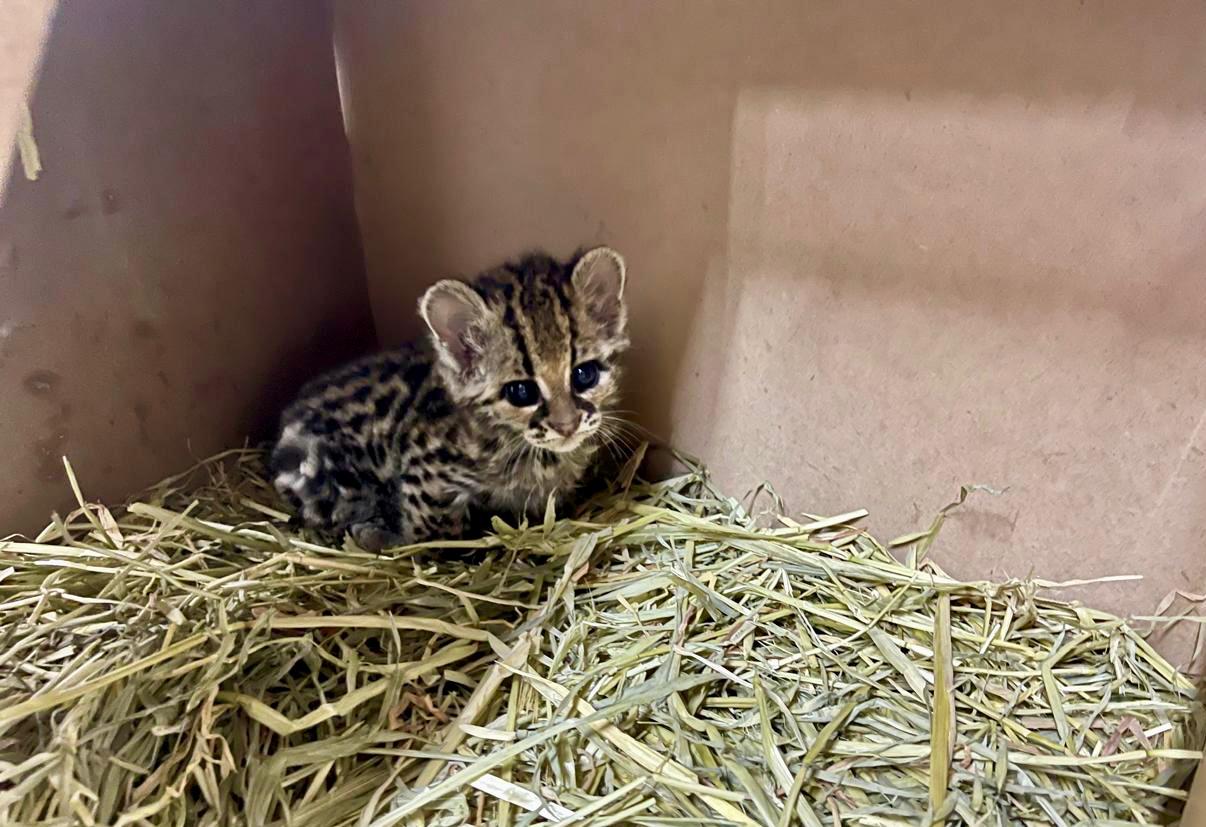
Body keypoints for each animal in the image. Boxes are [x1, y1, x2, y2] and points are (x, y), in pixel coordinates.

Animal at [271, 249, 631, 554]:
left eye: (584, 374)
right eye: (521, 392)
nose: (567, 426)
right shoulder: (424, 469)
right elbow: (432, 534)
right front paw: (398, 539)